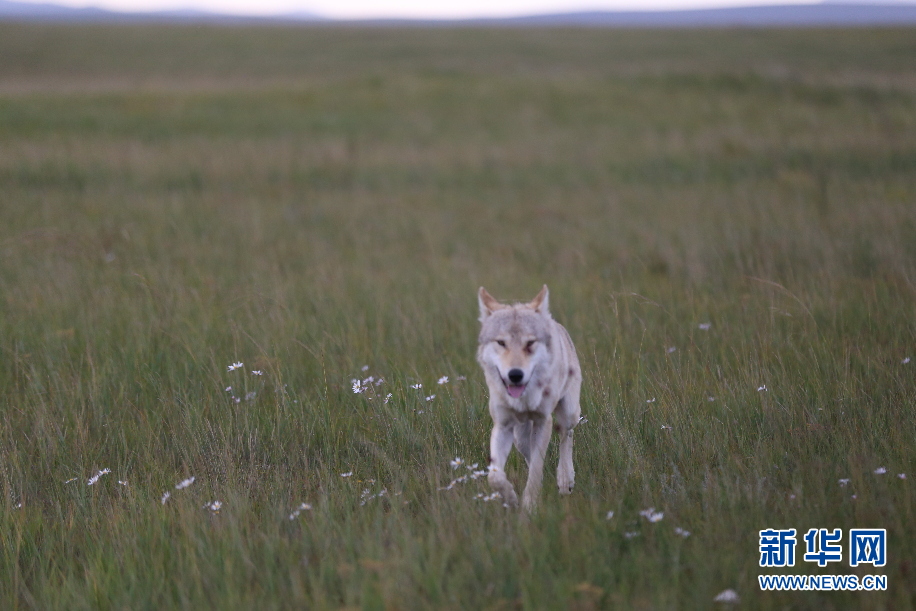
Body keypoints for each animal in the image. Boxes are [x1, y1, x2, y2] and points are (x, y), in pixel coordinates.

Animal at [476, 286, 584, 512]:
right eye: (501, 343)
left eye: (530, 343)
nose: (515, 375)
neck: (523, 399)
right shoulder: (503, 426)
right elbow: (495, 476)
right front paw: (510, 499)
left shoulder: (544, 421)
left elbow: (535, 469)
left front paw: (529, 507)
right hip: (520, 437)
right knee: (530, 453)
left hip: (568, 414)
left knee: (566, 435)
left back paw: (565, 479)